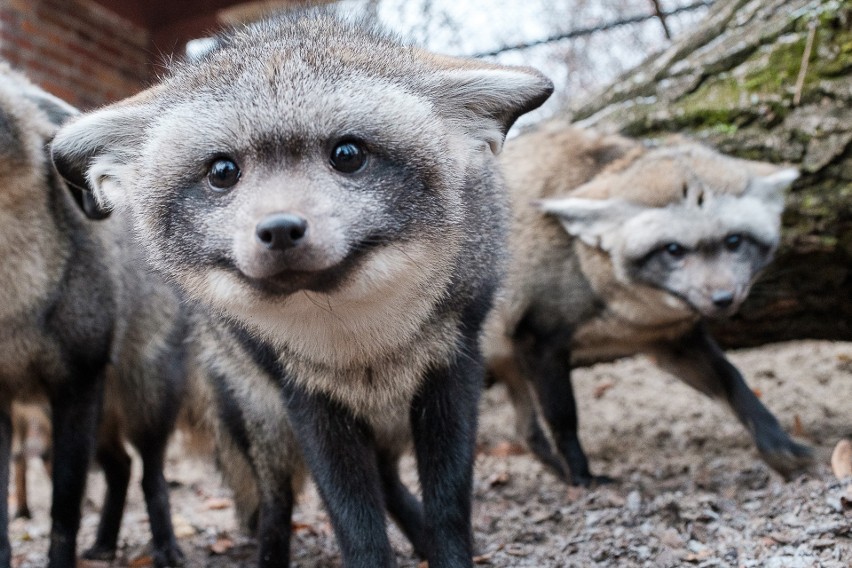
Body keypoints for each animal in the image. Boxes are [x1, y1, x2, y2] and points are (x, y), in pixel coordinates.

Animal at [482, 122, 808, 486]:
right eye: (674, 250)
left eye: (734, 241)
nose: (723, 300)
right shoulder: (539, 340)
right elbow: (564, 419)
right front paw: (583, 478)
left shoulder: (670, 341)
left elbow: (734, 382)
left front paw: (779, 445)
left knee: (526, 433)